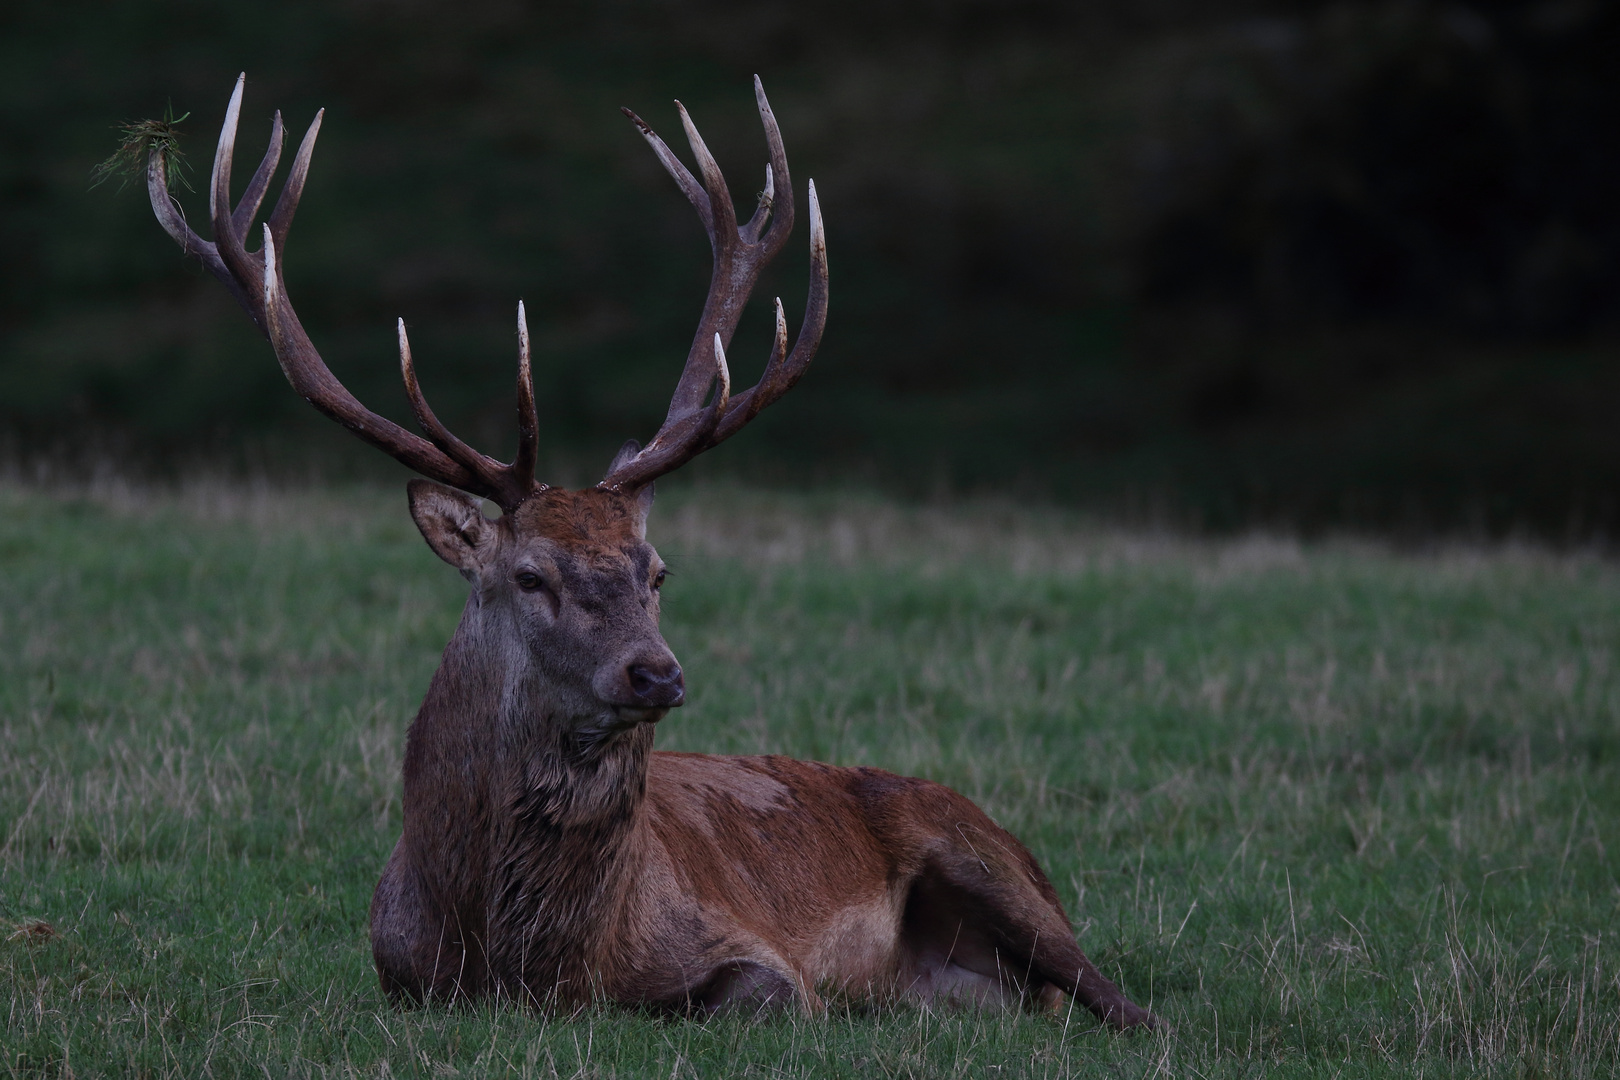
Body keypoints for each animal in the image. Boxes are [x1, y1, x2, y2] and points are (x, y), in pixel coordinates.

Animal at [139, 76, 1153, 1029]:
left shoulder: (756, 955)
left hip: (983, 859)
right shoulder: (396, 973)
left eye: (656, 571)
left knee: (1121, 997)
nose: (655, 672)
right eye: (529, 575)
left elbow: (748, 995)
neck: (535, 965)